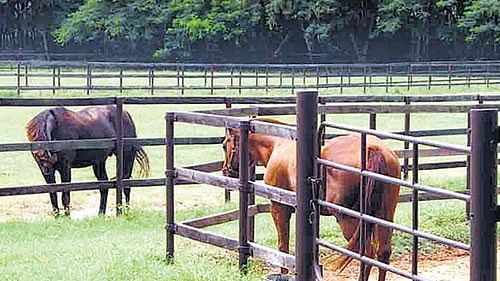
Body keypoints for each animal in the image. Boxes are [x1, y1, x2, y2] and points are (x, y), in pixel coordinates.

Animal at [223, 117, 402, 280]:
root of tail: (373, 150)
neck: (278, 144)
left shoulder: (279, 208)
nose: (226, 170)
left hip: (348, 219)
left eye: (225, 145)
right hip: (383, 216)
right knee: (383, 252)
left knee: (367, 253)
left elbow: (283, 246)